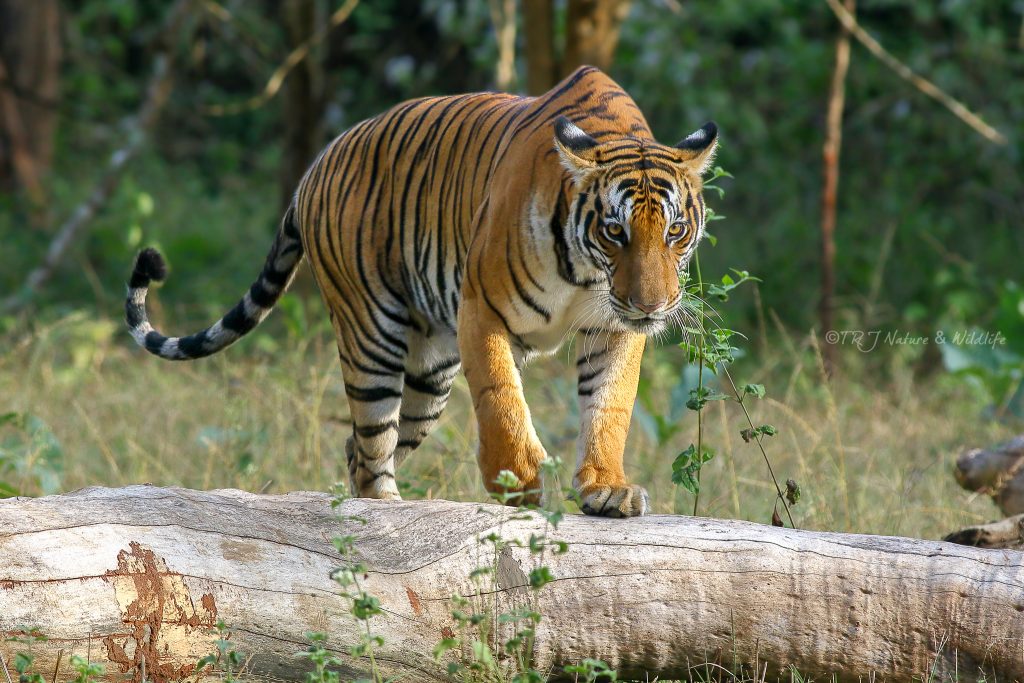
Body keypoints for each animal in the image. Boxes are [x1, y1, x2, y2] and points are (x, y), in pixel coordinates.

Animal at [123, 68, 716, 518]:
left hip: (429, 375)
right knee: (371, 439)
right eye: (615, 231)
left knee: (359, 447)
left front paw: (605, 488)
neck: (587, 273)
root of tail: (316, 166)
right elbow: (501, 397)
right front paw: (517, 483)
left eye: (675, 231)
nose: (652, 307)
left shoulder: (612, 328)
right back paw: (387, 508)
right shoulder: (482, 308)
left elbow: (609, 407)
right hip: (371, 336)